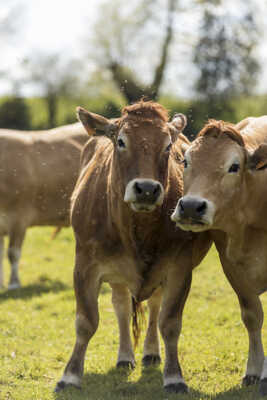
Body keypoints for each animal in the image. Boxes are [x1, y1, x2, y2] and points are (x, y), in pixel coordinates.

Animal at [55, 101, 213, 396]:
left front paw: (174, 377)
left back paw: (150, 352)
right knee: (121, 307)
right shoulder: (85, 265)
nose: (147, 189)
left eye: (167, 145)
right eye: (121, 141)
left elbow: (169, 323)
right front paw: (69, 376)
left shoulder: (179, 269)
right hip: (117, 275)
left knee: (154, 306)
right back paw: (125, 356)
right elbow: (85, 322)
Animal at [172, 116, 267, 396]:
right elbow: (252, 316)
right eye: (186, 161)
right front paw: (255, 371)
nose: (191, 206)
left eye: (234, 166)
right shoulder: (232, 267)